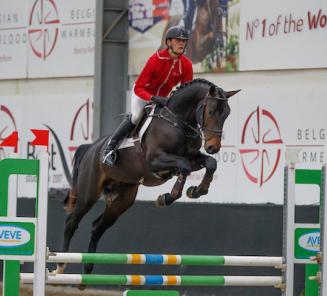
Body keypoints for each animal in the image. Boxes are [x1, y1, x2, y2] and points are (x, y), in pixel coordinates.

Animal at [57, 78, 240, 278]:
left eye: (227, 114)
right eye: (211, 111)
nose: (213, 147)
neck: (178, 122)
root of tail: (90, 148)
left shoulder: (193, 158)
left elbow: (210, 163)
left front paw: (198, 190)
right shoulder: (155, 161)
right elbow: (183, 167)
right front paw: (166, 197)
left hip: (122, 200)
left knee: (97, 227)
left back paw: (88, 270)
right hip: (88, 193)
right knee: (71, 222)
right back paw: (60, 266)